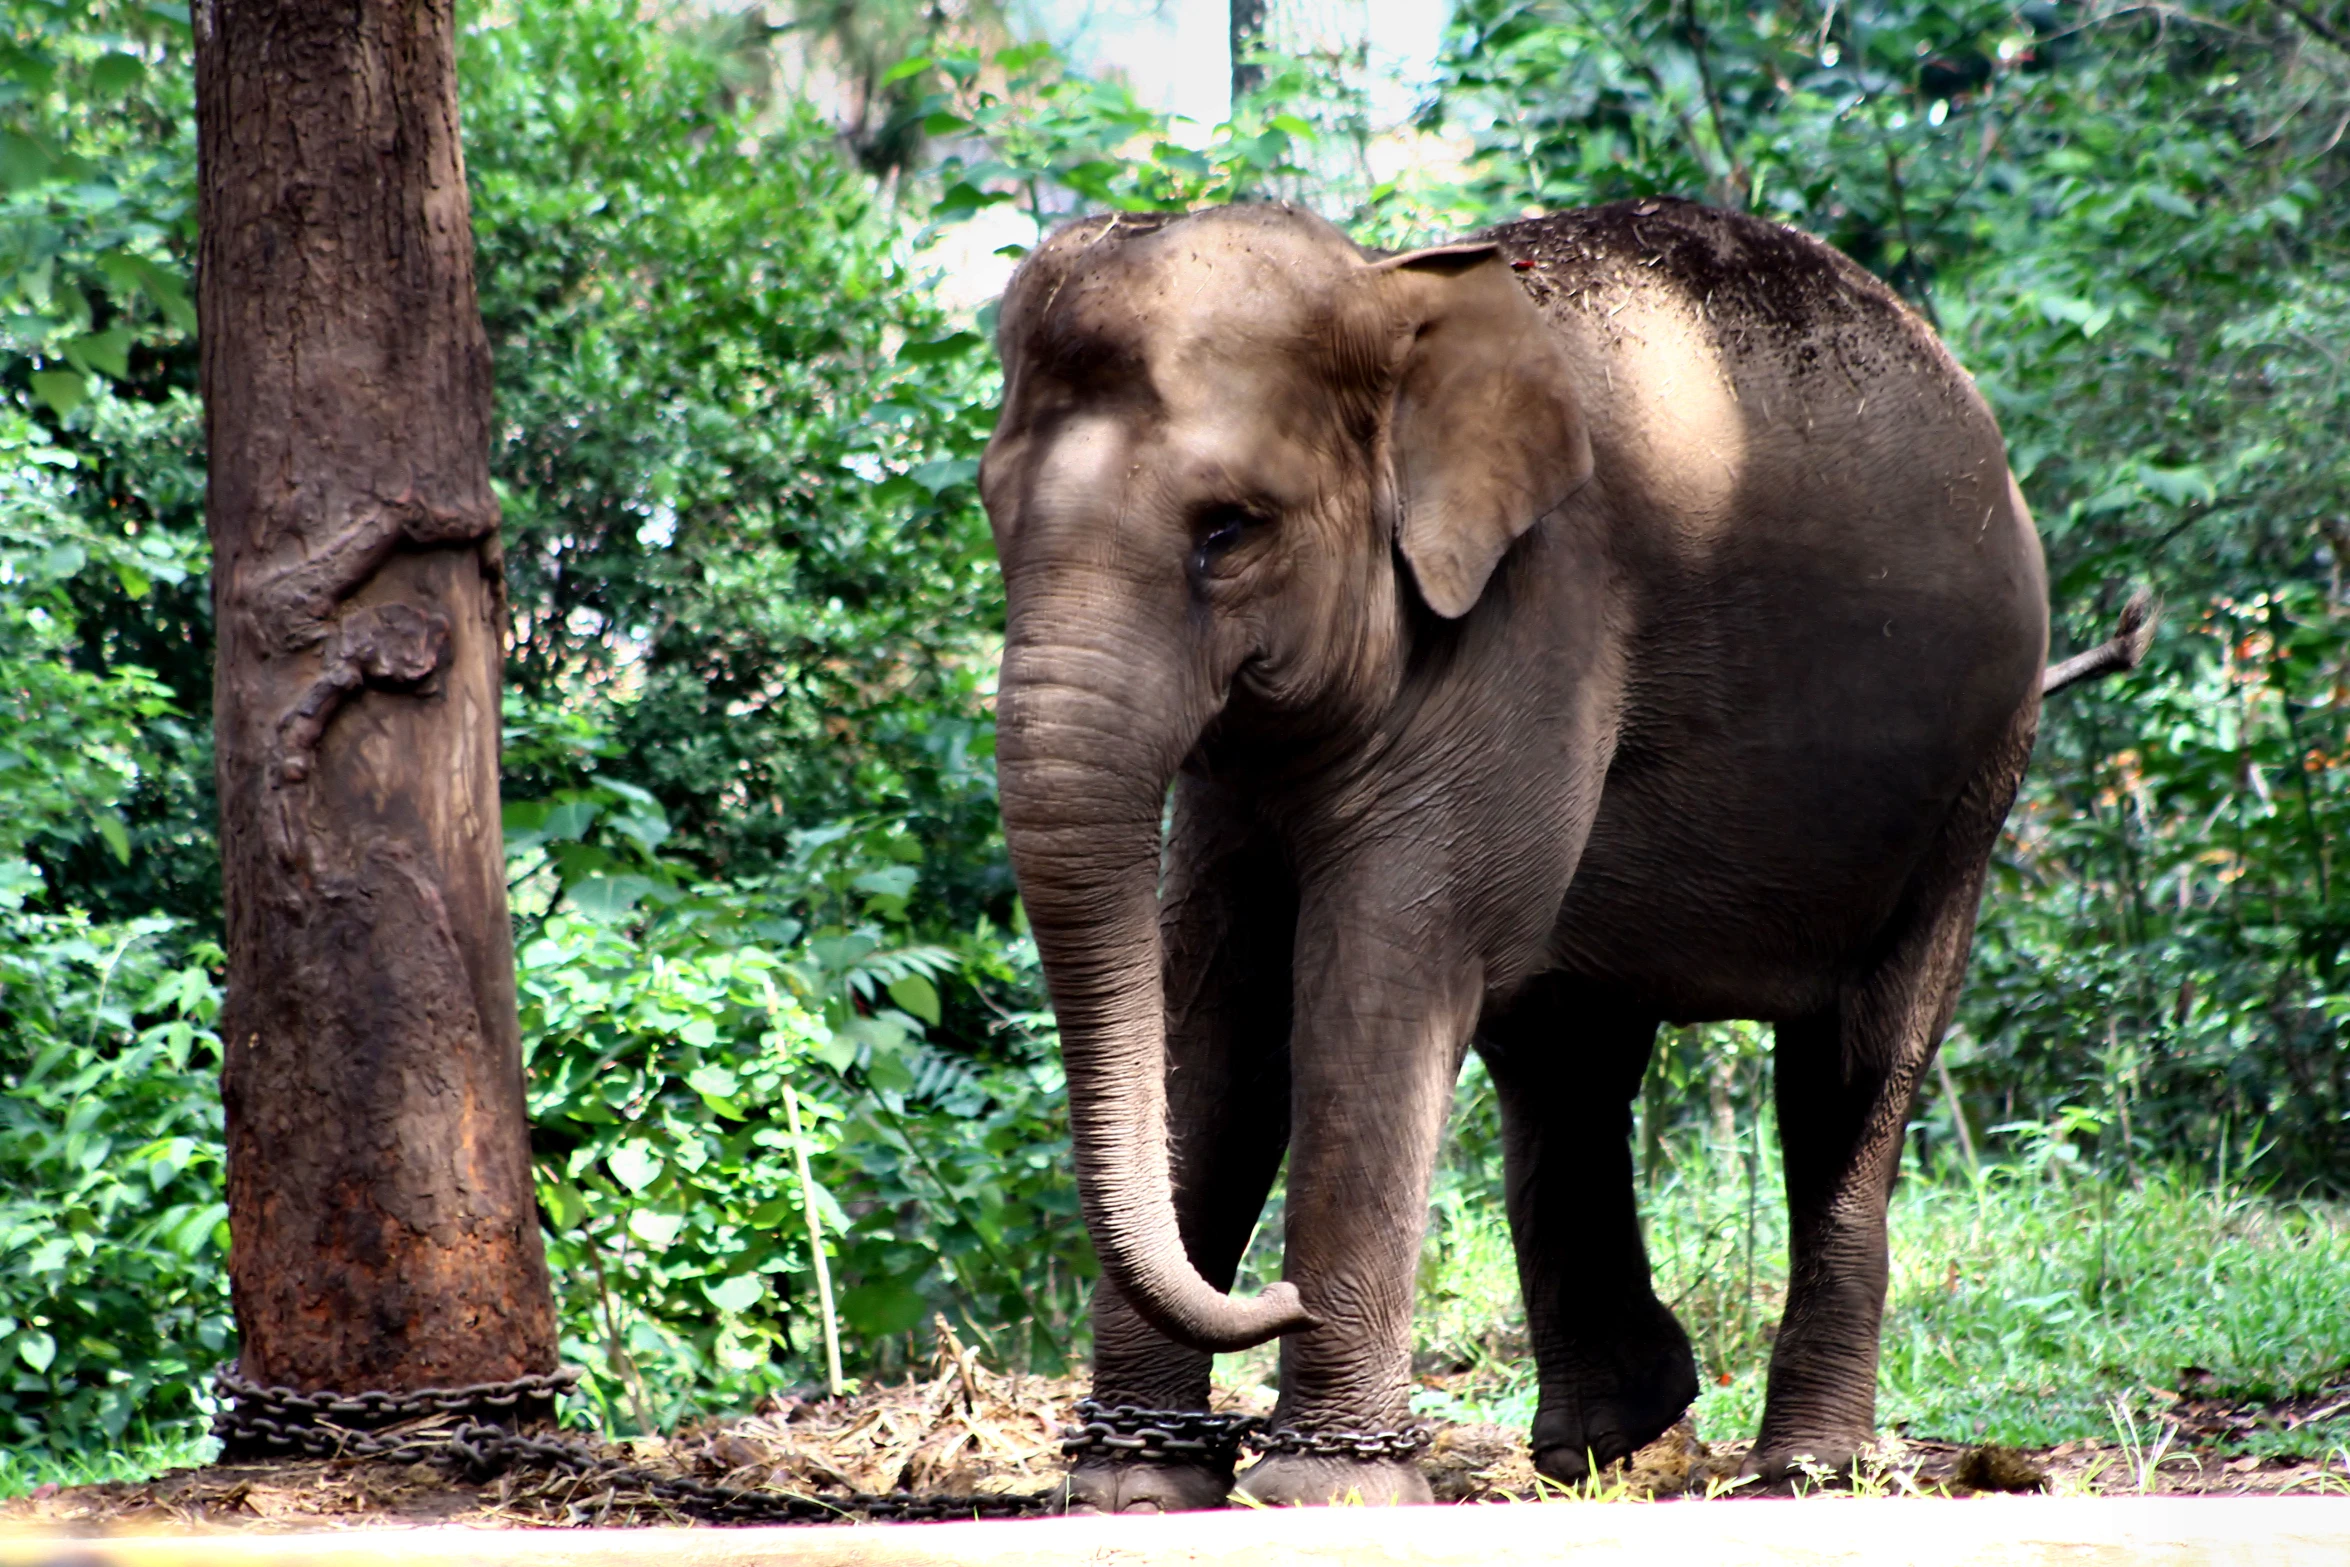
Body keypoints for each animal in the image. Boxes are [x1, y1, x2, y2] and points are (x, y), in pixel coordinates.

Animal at [977, 196, 2096, 1503]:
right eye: (995, 514)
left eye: (1228, 530)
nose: (1277, 1297)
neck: (1393, 292)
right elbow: (1215, 991)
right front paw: (1134, 1485)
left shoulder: (1535, 619)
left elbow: (1383, 966)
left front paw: (1322, 1487)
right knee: (1566, 1059)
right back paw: (1601, 1437)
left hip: (1972, 779)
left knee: (1848, 1069)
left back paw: (1802, 1467)